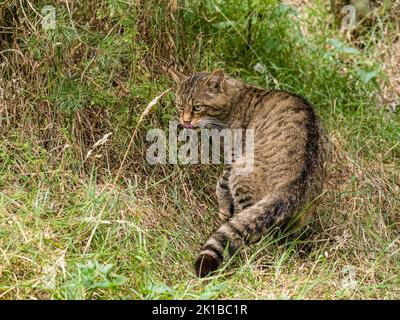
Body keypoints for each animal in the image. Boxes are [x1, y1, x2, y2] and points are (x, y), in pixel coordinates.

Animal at [169, 68, 328, 278]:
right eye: (180, 106)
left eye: (197, 107)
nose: (184, 121)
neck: (235, 100)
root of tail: (295, 183)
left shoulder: (234, 157)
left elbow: (221, 184)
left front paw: (223, 211)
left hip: (242, 176)